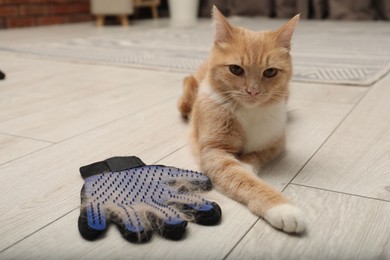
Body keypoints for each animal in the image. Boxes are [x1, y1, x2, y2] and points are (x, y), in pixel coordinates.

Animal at [178, 6, 306, 234]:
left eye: (270, 71)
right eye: (236, 69)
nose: (253, 91)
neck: (250, 111)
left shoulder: (276, 143)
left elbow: (255, 156)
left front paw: (246, 165)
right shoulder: (214, 152)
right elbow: (243, 179)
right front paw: (283, 208)